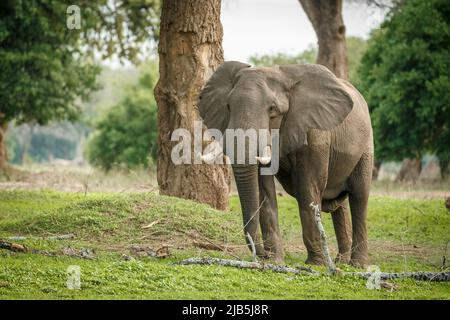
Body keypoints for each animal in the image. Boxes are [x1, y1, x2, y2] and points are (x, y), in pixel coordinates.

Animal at [199, 61, 374, 266]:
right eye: (228, 106)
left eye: (273, 110)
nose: (261, 254)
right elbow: (264, 190)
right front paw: (275, 261)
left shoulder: (315, 133)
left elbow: (308, 188)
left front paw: (315, 263)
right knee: (340, 205)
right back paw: (341, 261)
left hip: (366, 146)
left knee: (359, 197)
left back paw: (357, 264)